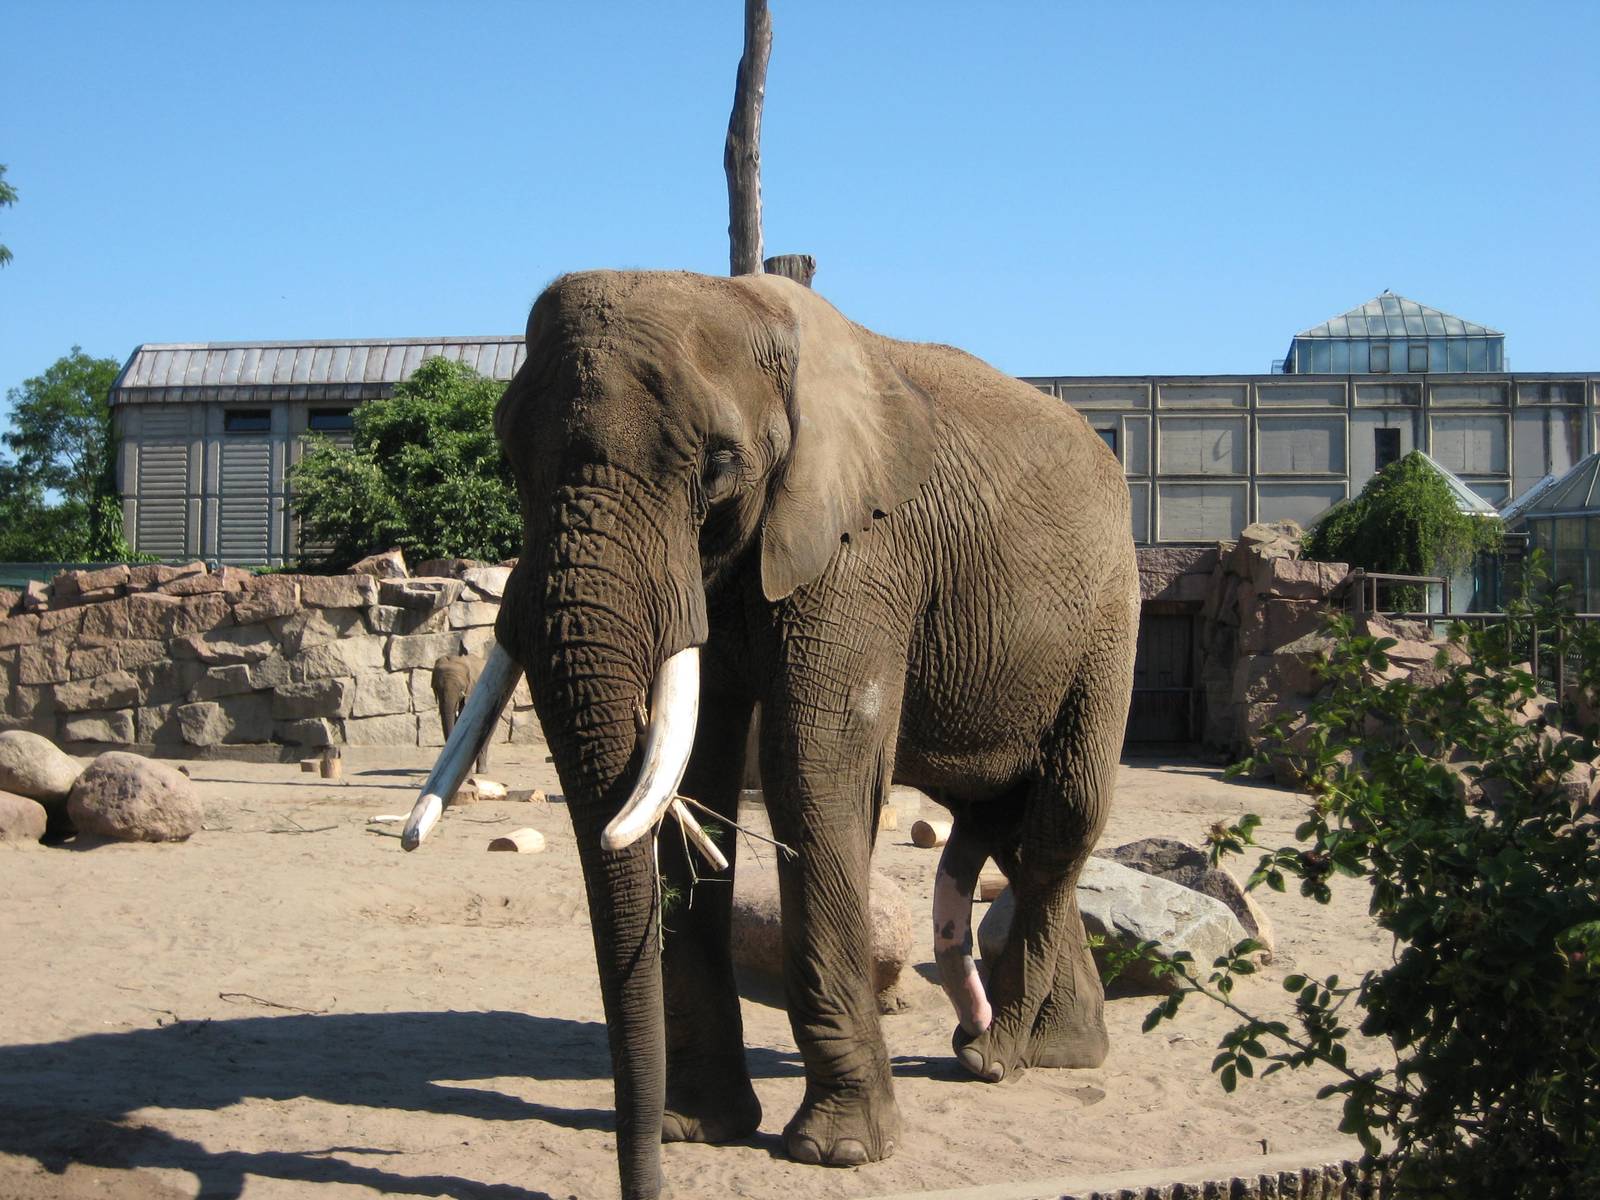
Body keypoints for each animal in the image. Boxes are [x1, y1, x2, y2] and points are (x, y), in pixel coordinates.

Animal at [403, 269, 1138, 1200]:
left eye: (718, 467)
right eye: (506, 453)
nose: (646, 1184)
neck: (746, 307)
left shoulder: (862, 546)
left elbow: (811, 772)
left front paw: (840, 1151)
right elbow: (695, 777)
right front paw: (698, 1129)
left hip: (1111, 614)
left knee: (1057, 821)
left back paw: (1003, 1057)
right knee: (1009, 824)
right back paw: (1058, 1050)